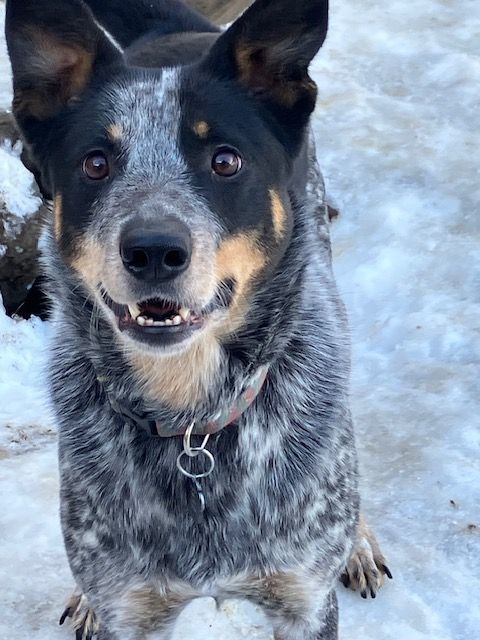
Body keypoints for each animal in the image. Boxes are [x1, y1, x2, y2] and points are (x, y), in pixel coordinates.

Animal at [5, 0, 390, 636]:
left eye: (225, 160)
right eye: (95, 163)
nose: (154, 249)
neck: (190, 420)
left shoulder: (304, 603)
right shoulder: (132, 607)